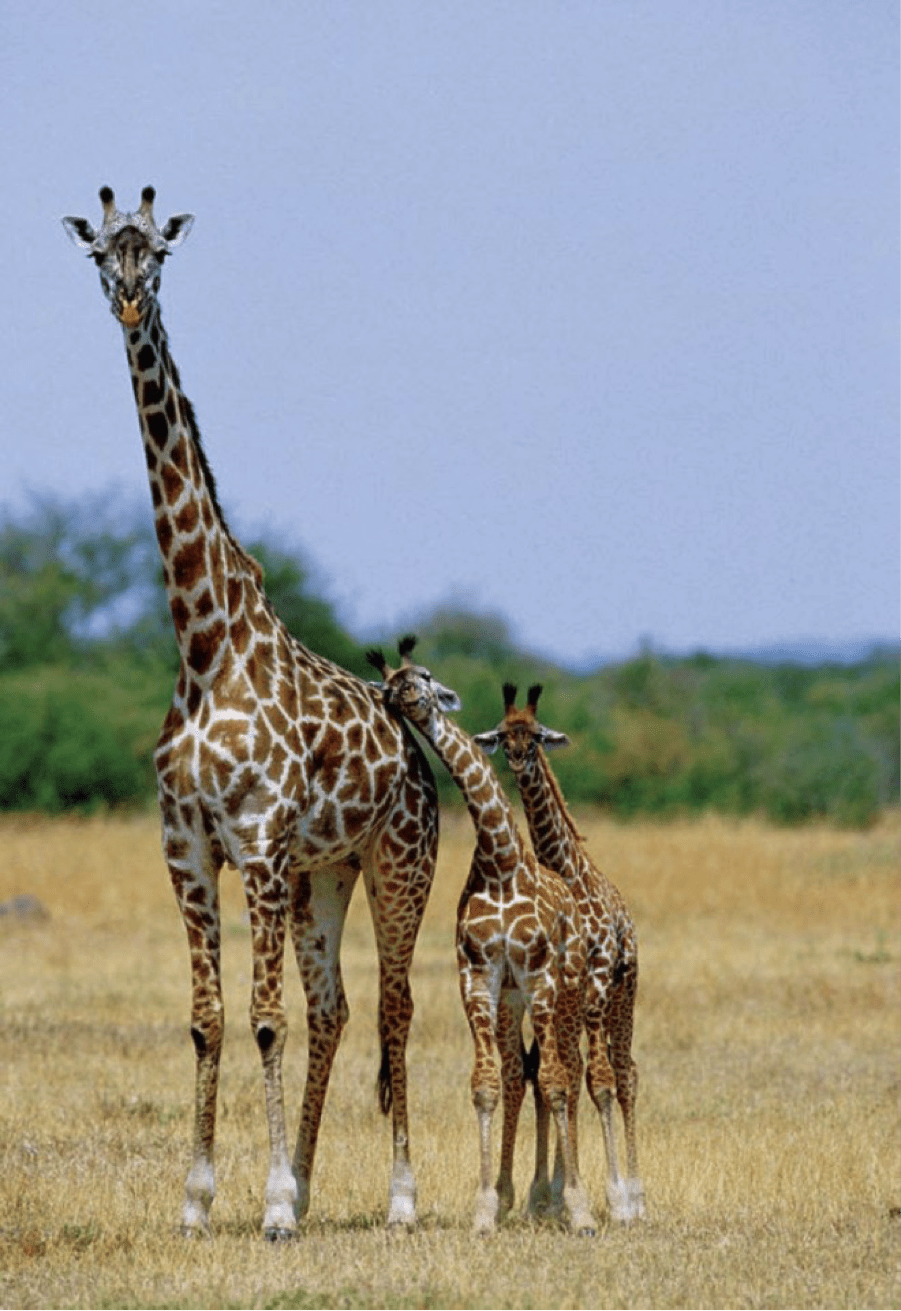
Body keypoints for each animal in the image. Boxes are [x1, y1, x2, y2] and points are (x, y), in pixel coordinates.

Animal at [61, 187, 441, 1239]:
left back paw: (398, 1199)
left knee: (392, 1007)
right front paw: (201, 1201)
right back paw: (309, 1182)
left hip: (396, 865)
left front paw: (267, 1205)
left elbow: (264, 1018)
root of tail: (416, 755)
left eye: (159, 255)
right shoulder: (188, 848)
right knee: (337, 1008)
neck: (203, 644)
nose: (128, 303)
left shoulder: (259, 844)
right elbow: (209, 1019)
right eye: (101, 255)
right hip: (326, 875)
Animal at [367, 638, 598, 1235]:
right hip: (512, 998)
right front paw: (485, 1207)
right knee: (525, 1072)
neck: (500, 859)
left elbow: (557, 1081)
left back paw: (570, 1196)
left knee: (567, 1071)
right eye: (391, 682)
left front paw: (579, 1208)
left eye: (424, 675)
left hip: (566, 988)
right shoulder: (477, 974)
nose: (404, 694)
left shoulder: (539, 974)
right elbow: (488, 1083)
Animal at [473, 683, 645, 1223]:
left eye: (536, 736)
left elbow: (598, 1079)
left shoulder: (592, 981)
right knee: (556, 1069)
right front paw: (543, 1193)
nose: (517, 758)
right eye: (504, 735)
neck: (565, 867)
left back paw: (636, 1195)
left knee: (625, 1072)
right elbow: (551, 1075)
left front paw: (615, 1197)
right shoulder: (553, 987)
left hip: (623, 989)